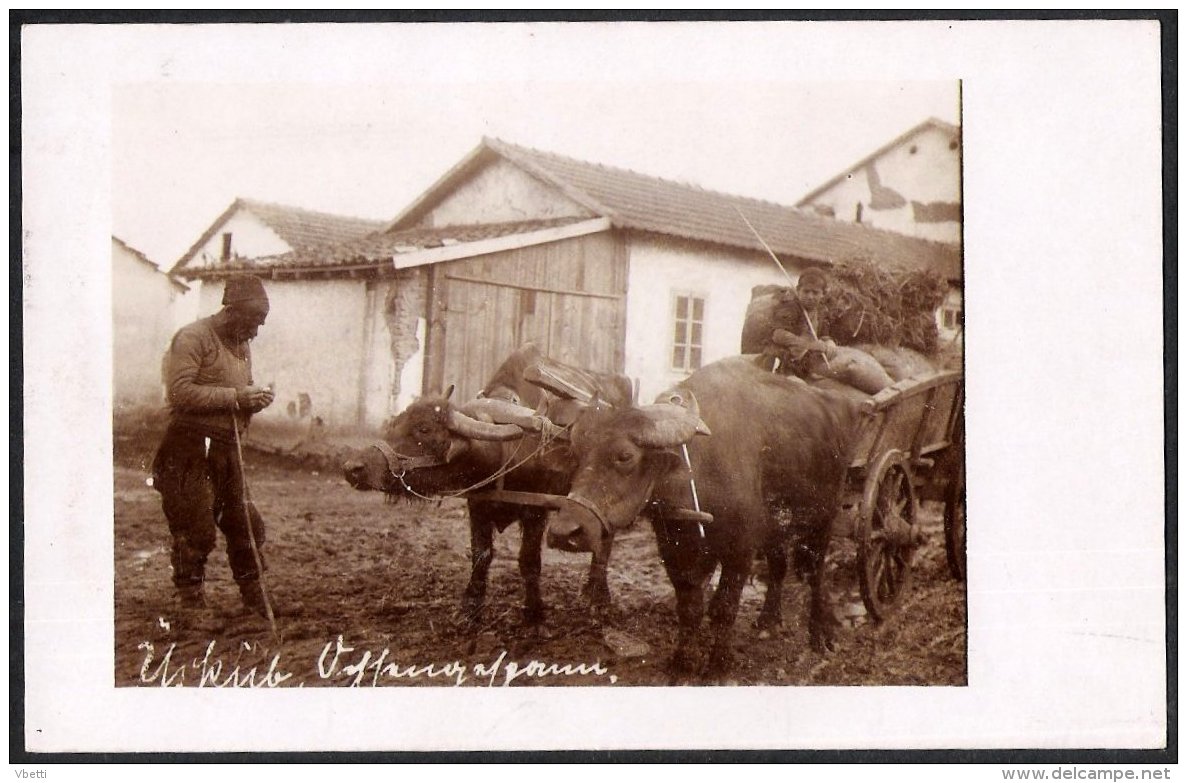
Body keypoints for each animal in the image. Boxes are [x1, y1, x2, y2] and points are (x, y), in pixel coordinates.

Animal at [341, 346, 631, 626]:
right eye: (396, 422)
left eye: (423, 429)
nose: (352, 468)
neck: (506, 452)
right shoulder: (478, 505)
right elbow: (481, 555)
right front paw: (470, 609)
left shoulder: (536, 511)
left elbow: (529, 560)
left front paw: (534, 613)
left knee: (605, 540)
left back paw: (599, 596)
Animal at [546, 355, 864, 673]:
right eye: (576, 453)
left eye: (625, 456)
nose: (563, 532)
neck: (698, 472)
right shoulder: (675, 549)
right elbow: (689, 607)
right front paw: (682, 664)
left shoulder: (740, 551)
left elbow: (725, 608)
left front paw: (718, 666)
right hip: (776, 527)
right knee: (778, 566)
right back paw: (768, 622)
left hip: (823, 520)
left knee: (815, 574)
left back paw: (819, 634)